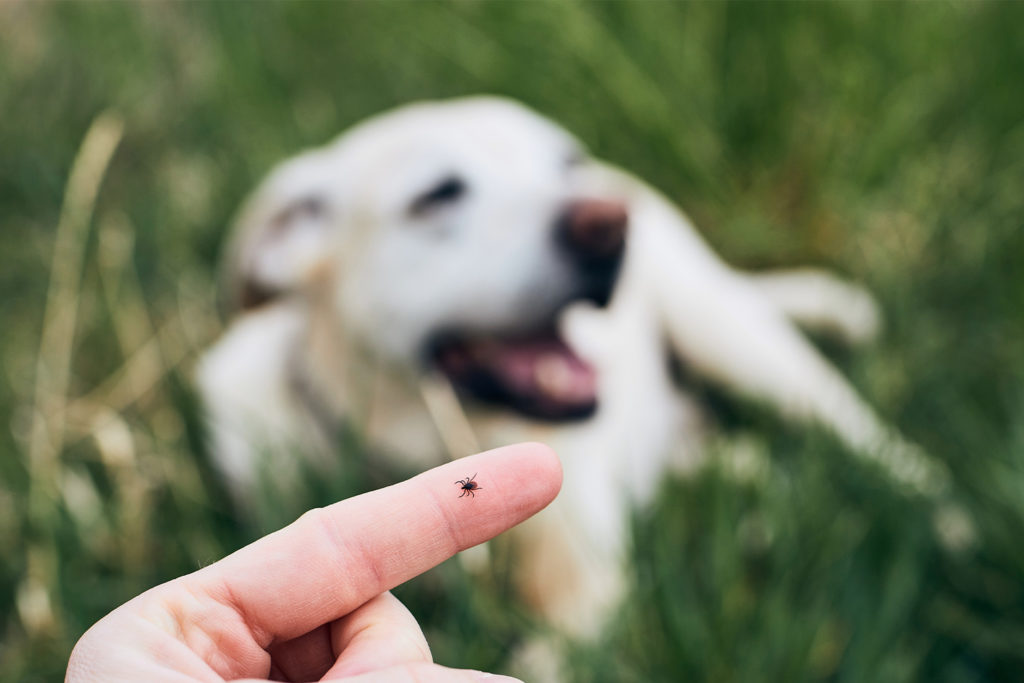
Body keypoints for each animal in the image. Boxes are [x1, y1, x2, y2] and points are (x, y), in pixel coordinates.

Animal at [193, 97, 942, 647]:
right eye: (437, 196)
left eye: (565, 163)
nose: (608, 224)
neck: (426, 441)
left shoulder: (588, 591)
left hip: (735, 339)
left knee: (870, 441)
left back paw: (946, 522)